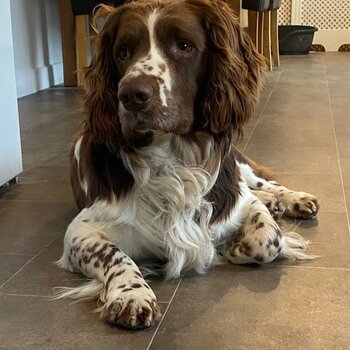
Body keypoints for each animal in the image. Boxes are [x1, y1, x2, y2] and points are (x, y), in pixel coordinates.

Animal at [56, 0, 320, 328]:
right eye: (122, 52)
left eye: (184, 46)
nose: (130, 95)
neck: (173, 160)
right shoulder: (82, 230)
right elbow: (115, 255)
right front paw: (131, 293)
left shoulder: (238, 202)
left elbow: (268, 239)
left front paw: (236, 245)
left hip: (236, 165)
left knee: (263, 182)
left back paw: (294, 199)